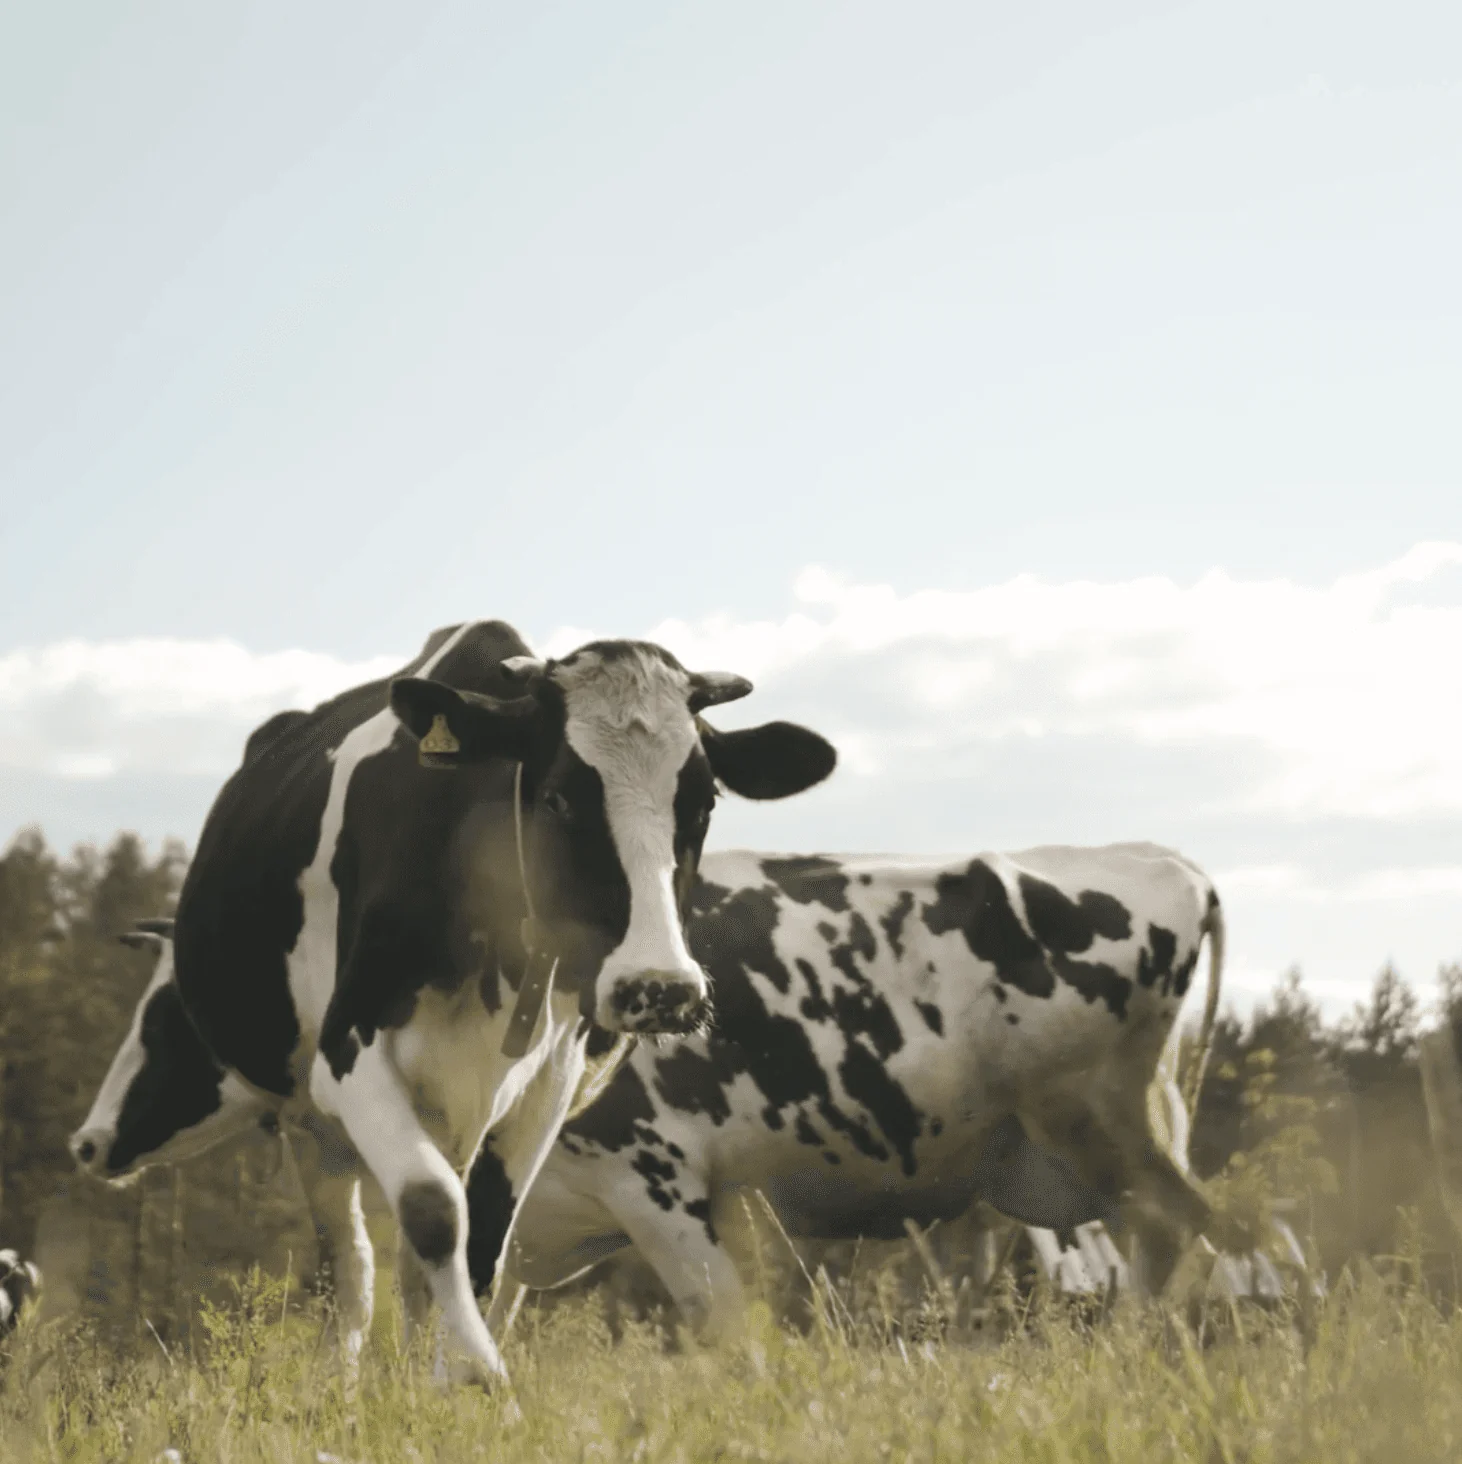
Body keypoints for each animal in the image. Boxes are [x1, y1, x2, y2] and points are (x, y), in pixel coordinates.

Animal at [96, 622, 834, 1389]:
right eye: (558, 798)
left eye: (704, 804)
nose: (659, 988)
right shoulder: (348, 1056)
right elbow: (431, 1212)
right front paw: (477, 1373)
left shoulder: (549, 1079)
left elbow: (482, 1242)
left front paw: (448, 1380)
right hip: (312, 1122)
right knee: (352, 1268)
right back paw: (342, 1382)